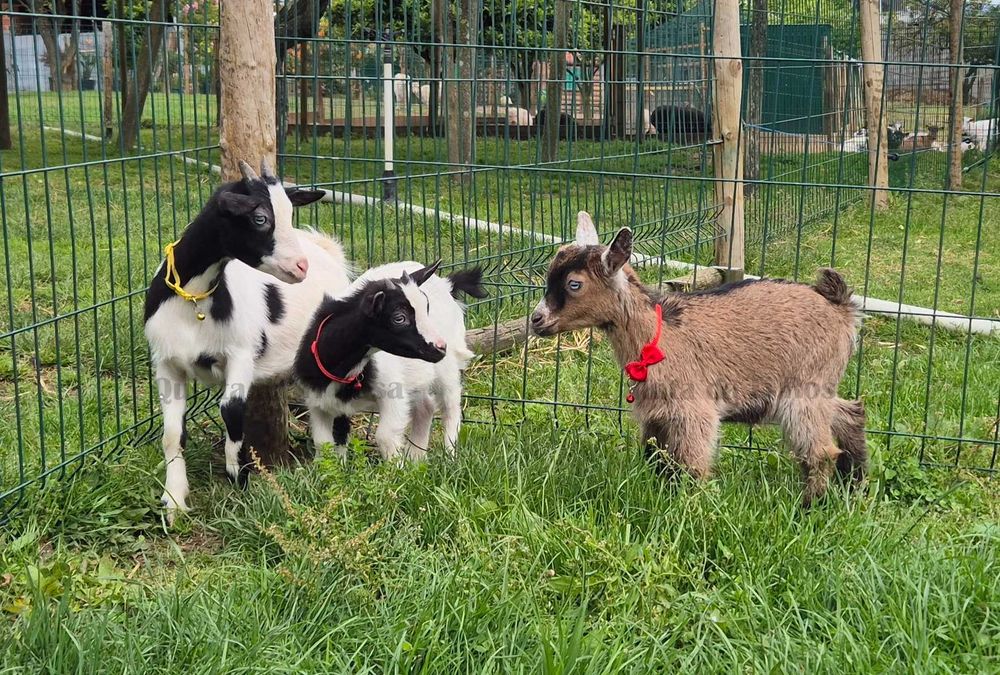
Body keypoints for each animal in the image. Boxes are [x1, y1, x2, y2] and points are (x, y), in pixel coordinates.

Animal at [144, 159, 351, 522]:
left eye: (290, 214)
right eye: (260, 218)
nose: (300, 267)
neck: (194, 299)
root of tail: (329, 254)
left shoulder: (241, 352)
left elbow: (231, 410)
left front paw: (238, 476)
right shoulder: (166, 362)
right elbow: (171, 434)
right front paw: (173, 501)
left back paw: (336, 468)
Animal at [295, 261, 487, 461]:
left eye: (426, 307)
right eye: (399, 318)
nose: (441, 347)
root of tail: (447, 283)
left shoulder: (392, 391)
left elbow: (385, 435)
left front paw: (395, 466)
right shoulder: (319, 402)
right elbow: (325, 441)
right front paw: (332, 466)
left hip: (446, 367)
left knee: (451, 405)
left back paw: (449, 453)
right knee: (426, 406)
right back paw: (416, 457)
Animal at [530, 212, 867, 507]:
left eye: (574, 284)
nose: (535, 320)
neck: (659, 334)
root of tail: (841, 309)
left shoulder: (693, 409)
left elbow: (692, 464)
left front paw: (692, 507)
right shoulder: (656, 413)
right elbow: (656, 459)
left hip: (804, 388)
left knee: (820, 452)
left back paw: (812, 505)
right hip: (820, 387)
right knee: (850, 412)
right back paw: (855, 482)